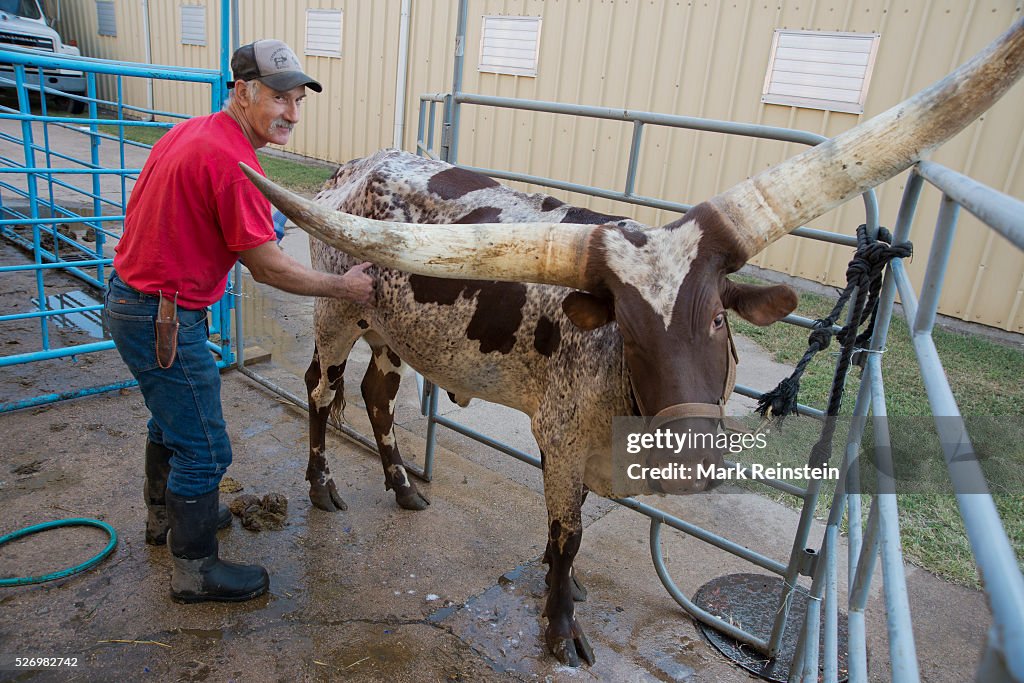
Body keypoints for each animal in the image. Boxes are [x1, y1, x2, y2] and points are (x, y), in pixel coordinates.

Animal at [245, 17, 1024, 667]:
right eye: (633, 331)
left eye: (716, 321)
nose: (695, 457)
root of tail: (353, 167)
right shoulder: (561, 442)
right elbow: (568, 537)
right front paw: (561, 626)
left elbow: (566, 540)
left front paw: (564, 592)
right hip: (336, 313)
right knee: (323, 390)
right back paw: (322, 485)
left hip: (392, 330)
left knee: (376, 392)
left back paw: (404, 484)